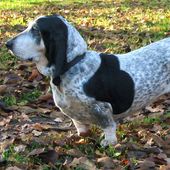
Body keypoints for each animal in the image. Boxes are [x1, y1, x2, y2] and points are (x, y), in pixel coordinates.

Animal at [5, 14, 169, 146]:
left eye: (35, 29)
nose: (7, 44)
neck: (74, 63)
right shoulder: (76, 118)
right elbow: (81, 130)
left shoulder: (103, 108)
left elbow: (109, 127)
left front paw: (108, 143)